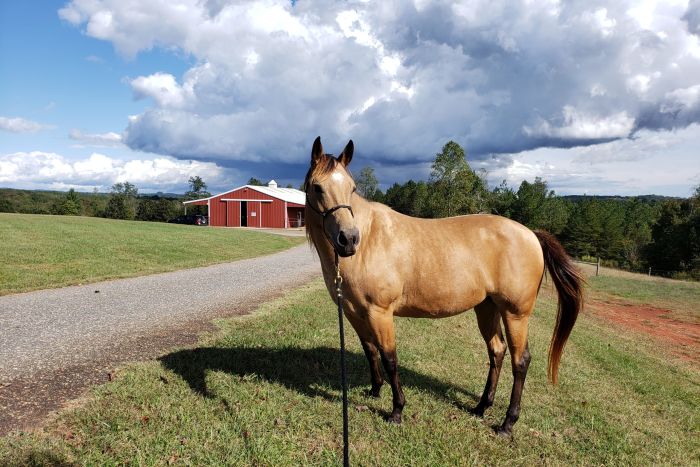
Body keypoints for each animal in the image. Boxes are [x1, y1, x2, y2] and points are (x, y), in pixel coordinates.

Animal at [304, 137, 584, 436]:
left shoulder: (379, 313)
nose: (348, 239)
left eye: (352, 187)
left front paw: (397, 410)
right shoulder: (354, 312)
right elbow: (370, 351)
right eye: (317, 187)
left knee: (521, 361)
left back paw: (507, 423)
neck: (370, 239)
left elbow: (389, 357)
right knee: (497, 351)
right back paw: (481, 407)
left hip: (515, 314)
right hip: (487, 308)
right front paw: (375, 390)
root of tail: (531, 234)